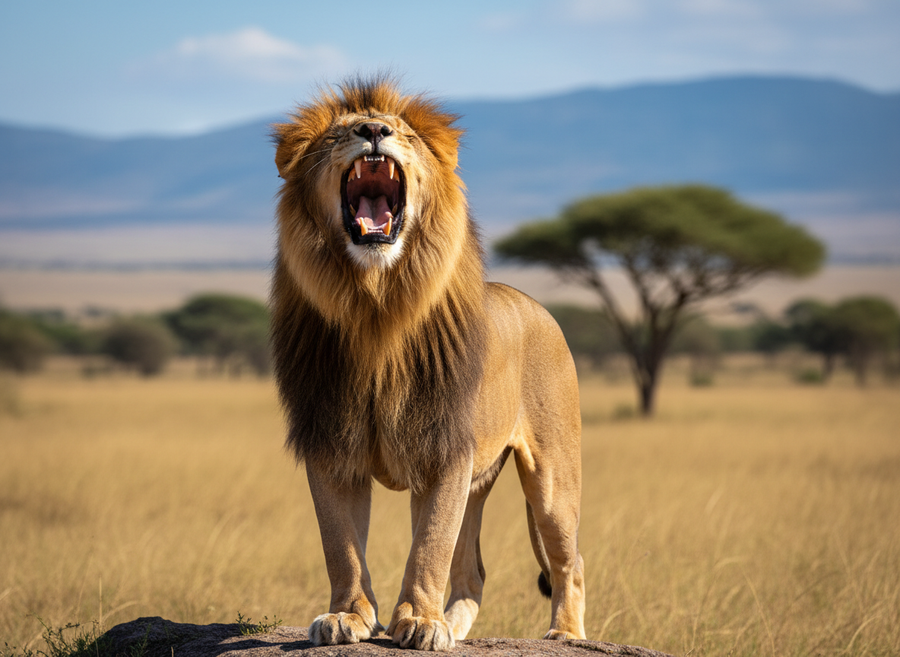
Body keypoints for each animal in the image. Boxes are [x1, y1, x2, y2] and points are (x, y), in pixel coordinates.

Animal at [270, 77, 585, 651]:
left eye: (407, 135)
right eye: (339, 134)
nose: (374, 129)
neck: (375, 309)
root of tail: (536, 304)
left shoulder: (444, 448)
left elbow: (429, 546)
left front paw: (419, 620)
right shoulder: (331, 443)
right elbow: (341, 546)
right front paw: (348, 616)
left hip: (552, 478)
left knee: (567, 562)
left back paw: (565, 634)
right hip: (480, 481)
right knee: (472, 573)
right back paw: (456, 626)